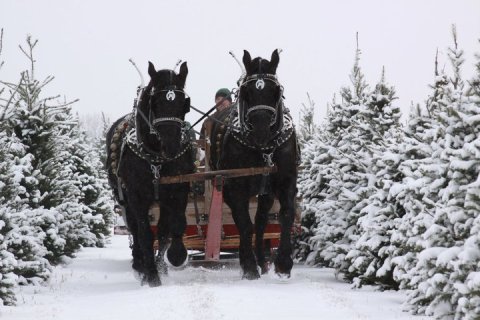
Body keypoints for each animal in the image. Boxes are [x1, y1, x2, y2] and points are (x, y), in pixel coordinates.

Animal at [106, 61, 194, 286]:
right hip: (125, 200)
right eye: (155, 102)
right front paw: (151, 275)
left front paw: (173, 257)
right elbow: (145, 233)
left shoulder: (177, 191)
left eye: (184, 103)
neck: (155, 159)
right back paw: (140, 265)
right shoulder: (137, 197)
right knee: (135, 230)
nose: (170, 145)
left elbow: (171, 227)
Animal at [209, 48, 298, 278]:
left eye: (276, 91)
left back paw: (263, 261)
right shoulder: (235, 186)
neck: (264, 149)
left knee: (260, 221)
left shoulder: (286, 180)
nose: (260, 131)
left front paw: (283, 262)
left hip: (264, 192)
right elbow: (244, 223)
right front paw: (248, 265)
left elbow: (285, 215)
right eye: (246, 91)